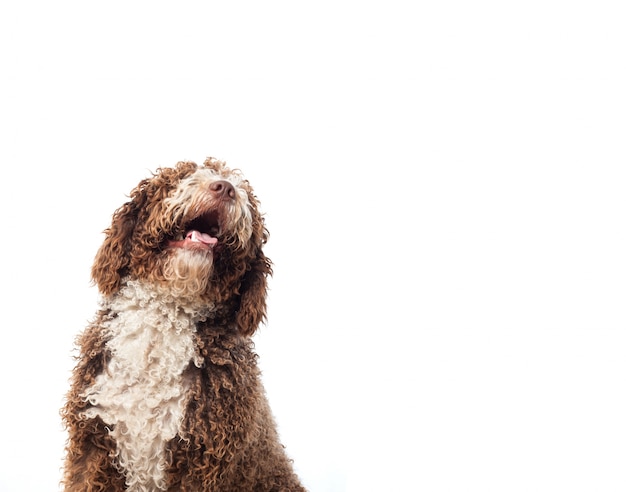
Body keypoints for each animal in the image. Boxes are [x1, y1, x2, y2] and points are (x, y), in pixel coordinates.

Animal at [61, 159, 304, 492]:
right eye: (184, 176)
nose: (225, 188)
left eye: (248, 200)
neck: (166, 314)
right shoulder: (93, 446)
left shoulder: (202, 460)